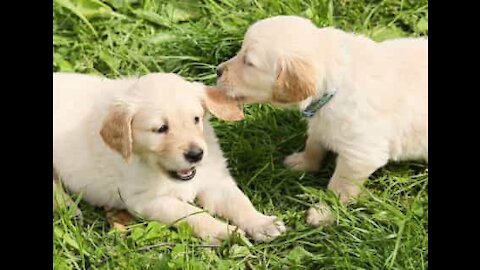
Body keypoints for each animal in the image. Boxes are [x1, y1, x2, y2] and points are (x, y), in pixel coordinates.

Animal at [53, 72, 284, 243]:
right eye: (161, 129)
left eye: (196, 119)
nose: (196, 154)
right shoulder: (147, 200)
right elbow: (192, 214)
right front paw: (224, 232)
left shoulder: (214, 179)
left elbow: (239, 201)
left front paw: (262, 223)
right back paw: (68, 207)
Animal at [217, 15, 428, 226]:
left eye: (249, 62)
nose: (218, 70)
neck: (334, 85)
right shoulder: (319, 123)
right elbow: (313, 145)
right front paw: (303, 163)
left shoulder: (360, 155)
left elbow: (339, 186)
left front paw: (325, 211)